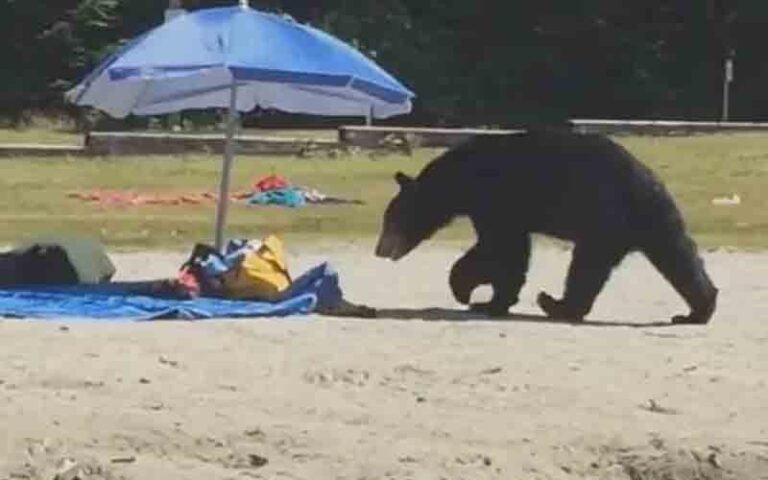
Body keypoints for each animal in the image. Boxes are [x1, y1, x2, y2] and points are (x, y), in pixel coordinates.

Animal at [374, 128, 718, 324]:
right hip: (653, 222)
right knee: (680, 258)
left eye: (390, 220)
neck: (460, 180)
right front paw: (490, 299)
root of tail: (647, 183)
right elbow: (507, 249)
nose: (380, 250)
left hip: (603, 218)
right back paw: (696, 311)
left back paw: (557, 305)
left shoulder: (494, 197)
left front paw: (471, 293)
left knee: (586, 266)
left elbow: (500, 247)